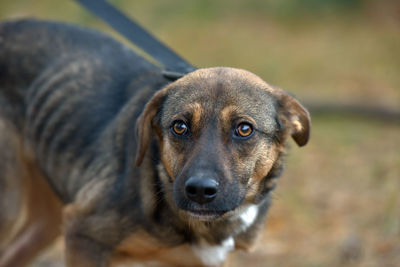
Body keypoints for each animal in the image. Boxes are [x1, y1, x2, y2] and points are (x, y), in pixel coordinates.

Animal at [0, 19, 310, 267]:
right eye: (179, 127)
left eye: (244, 129)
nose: (200, 190)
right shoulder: (83, 232)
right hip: (10, 206)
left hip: (47, 218)